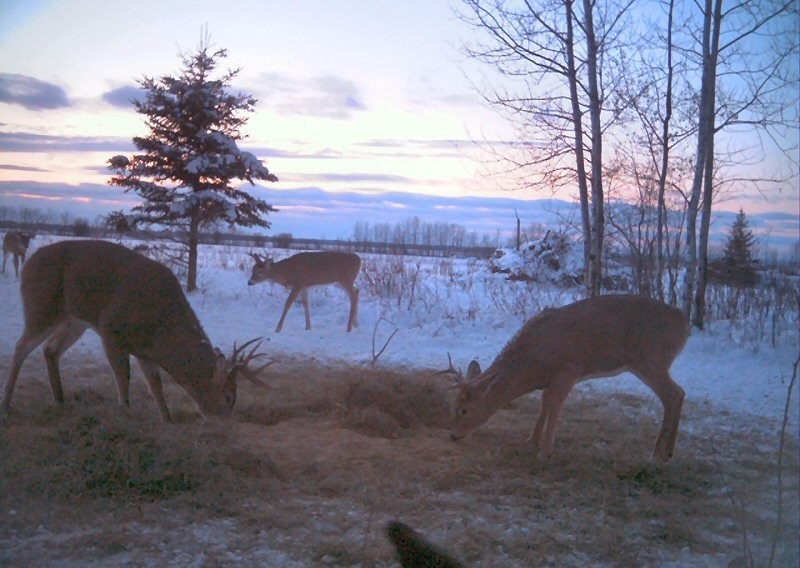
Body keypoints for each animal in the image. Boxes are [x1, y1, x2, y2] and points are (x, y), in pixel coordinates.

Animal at [0, 240, 272, 422]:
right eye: (228, 396)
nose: (226, 423)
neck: (160, 327)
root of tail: (27, 264)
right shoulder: (111, 330)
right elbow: (123, 377)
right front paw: (125, 413)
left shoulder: (145, 351)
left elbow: (156, 385)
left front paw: (167, 420)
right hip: (41, 306)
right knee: (21, 346)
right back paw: (7, 403)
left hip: (74, 320)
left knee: (50, 350)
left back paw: (60, 401)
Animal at [444, 296, 688, 464]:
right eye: (454, 404)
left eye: (464, 410)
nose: (453, 435)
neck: (532, 365)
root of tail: (685, 325)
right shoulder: (550, 379)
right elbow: (543, 403)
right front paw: (531, 440)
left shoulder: (568, 370)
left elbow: (554, 406)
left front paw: (545, 452)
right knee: (679, 393)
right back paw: (668, 452)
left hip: (649, 359)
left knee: (672, 395)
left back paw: (656, 454)